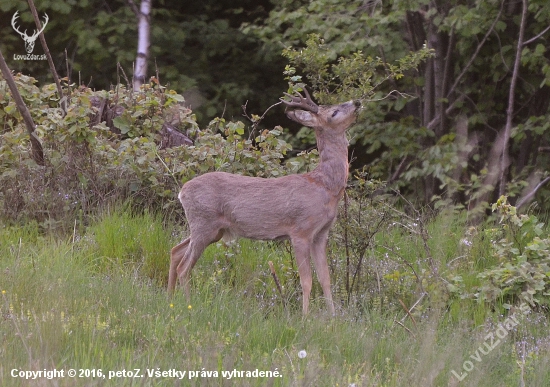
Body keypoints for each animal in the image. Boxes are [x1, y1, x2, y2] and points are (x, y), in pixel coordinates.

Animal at [168, 89, 362, 314]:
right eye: (334, 112)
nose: (357, 102)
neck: (325, 186)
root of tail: (182, 192)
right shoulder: (301, 231)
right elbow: (307, 281)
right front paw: (305, 317)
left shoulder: (321, 234)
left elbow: (326, 280)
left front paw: (333, 316)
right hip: (204, 223)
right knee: (184, 266)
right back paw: (188, 305)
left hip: (213, 230)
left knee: (175, 251)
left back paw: (170, 297)